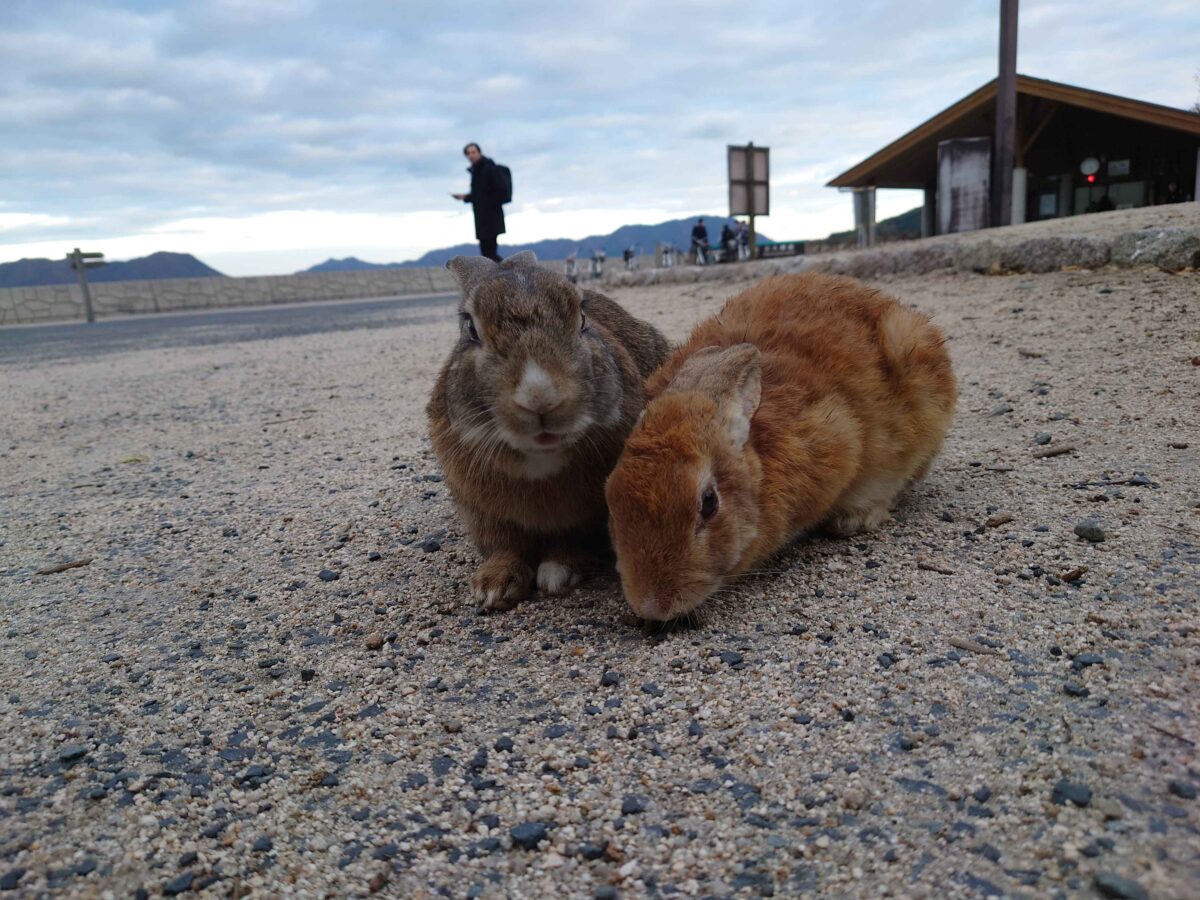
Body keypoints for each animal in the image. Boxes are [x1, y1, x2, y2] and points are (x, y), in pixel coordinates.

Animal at [427, 251, 671, 610]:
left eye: (582, 318)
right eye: (470, 327)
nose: (540, 398)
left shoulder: (584, 515)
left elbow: (568, 541)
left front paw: (559, 574)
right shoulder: (485, 513)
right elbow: (505, 546)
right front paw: (493, 587)